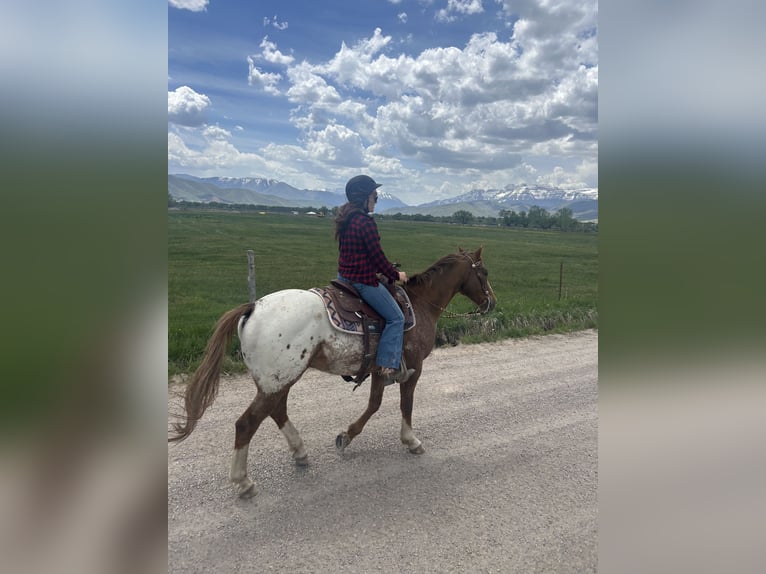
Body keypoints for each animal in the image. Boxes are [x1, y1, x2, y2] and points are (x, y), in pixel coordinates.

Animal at [169, 246, 496, 498]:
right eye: (484, 273)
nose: (491, 302)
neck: (419, 303)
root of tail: (253, 308)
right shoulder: (414, 367)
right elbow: (405, 404)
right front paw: (411, 441)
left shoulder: (380, 369)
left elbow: (374, 404)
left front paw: (346, 437)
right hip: (278, 381)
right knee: (246, 423)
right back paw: (243, 482)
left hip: (281, 379)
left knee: (276, 411)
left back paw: (300, 453)